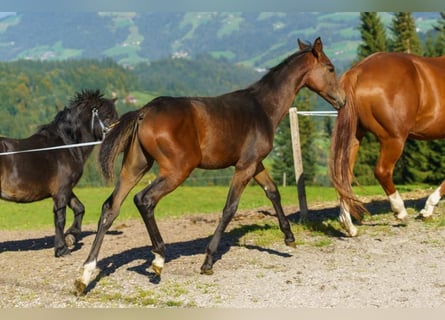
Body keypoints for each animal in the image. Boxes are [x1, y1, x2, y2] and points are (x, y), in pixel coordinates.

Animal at [0, 90, 118, 258]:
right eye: (107, 116)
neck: (66, 146)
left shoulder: (66, 189)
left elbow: (79, 208)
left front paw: (71, 237)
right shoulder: (61, 191)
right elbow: (60, 219)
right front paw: (61, 249)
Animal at [75, 37, 344, 292]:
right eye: (330, 68)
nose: (341, 101)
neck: (262, 108)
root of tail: (143, 112)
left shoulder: (255, 163)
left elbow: (272, 191)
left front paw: (289, 236)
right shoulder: (244, 167)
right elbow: (230, 208)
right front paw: (208, 261)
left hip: (135, 167)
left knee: (110, 208)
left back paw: (85, 274)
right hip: (177, 170)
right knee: (144, 200)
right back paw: (158, 258)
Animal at [328, 52, 444, 238]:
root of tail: (358, 71)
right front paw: (428, 209)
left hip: (354, 137)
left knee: (343, 176)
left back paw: (348, 224)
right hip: (394, 140)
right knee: (382, 172)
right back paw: (400, 211)